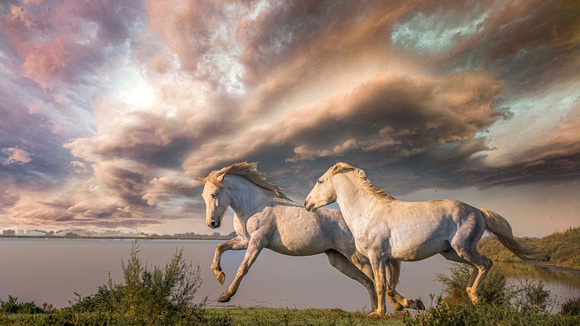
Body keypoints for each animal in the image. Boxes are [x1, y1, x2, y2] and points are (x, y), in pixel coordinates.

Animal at [199, 162, 422, 310]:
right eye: (203, 195)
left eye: (214, 194)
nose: (212, 223)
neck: (256, 205)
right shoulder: (244, 240)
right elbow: (220, 247)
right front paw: (219, 274)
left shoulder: (257, 241)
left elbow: (243, 267)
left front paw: (225, 295)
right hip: (338, 259)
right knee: (369, 281)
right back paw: (380, 310)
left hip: (356, 255)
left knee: (378, 277)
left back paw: (405, 305)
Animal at [306, 163, 548, 316]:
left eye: (320, 181)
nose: (307, 203)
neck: (368, 212)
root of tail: (478, 211)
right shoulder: (387, 259)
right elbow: (388, 286)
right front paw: (412, 304)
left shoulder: (377, 256)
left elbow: (381, 285)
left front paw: (380, 313)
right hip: (452, 253)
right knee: (477, 266)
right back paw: (470, 294)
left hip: (464, 248)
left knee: (485, 263)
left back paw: (475, 297)